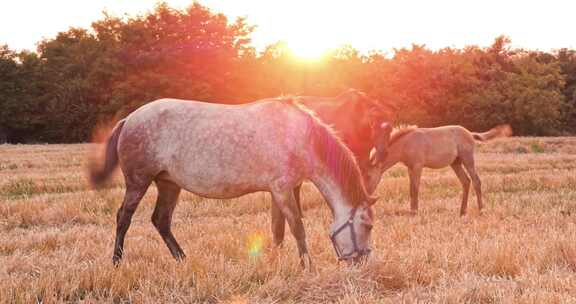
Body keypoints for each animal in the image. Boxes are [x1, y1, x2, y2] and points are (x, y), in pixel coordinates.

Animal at [89, 97, 378, 266]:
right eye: (367, 225)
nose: (362, 264)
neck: (302, 137)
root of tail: (128, 119)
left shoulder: (282, 190)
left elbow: (278, 229)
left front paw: (275, 261)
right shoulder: (282, 189)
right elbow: (297, 228)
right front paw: (306, 266)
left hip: (169, 184)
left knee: (161, 220)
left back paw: (183, 260)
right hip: (138, 182)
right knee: (124, 217)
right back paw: (116, 261)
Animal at [372, 124, 510, 216]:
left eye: (368, 176)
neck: (406, 143)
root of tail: (470, 133)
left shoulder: (417, 166)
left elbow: (415, 188)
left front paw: (414, 212)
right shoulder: (410, 168)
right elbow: (411, 188)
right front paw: (412, 211)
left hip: (468, 159)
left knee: (476, 181)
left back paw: (481, 210)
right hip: (456, 163)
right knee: (466, 181)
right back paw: (462, 211)